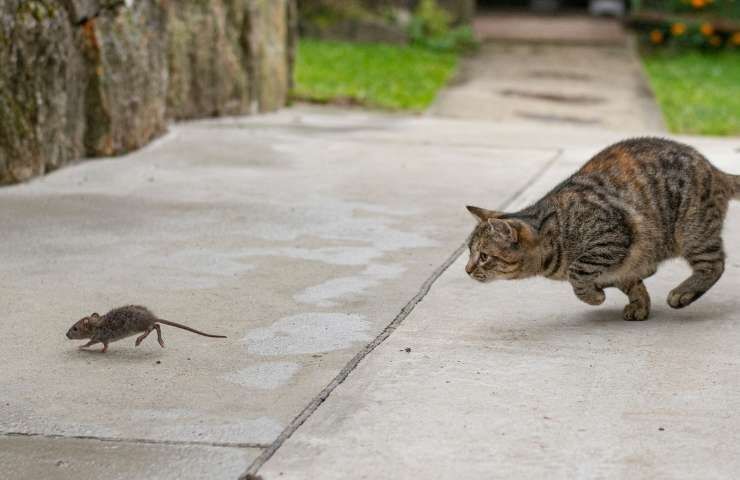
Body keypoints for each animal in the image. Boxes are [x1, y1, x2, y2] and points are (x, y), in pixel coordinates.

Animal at [466, 137, 736, 320]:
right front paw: (639, 304)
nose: (467, 270)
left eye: (484, 256)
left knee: (715, 264)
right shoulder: (624, 265)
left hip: (693, 231)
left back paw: (683, 293)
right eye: (469, 252)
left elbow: (577, 273)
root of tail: (713, 168)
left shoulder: (611, 238)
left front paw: (594, 296)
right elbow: (631, 283)